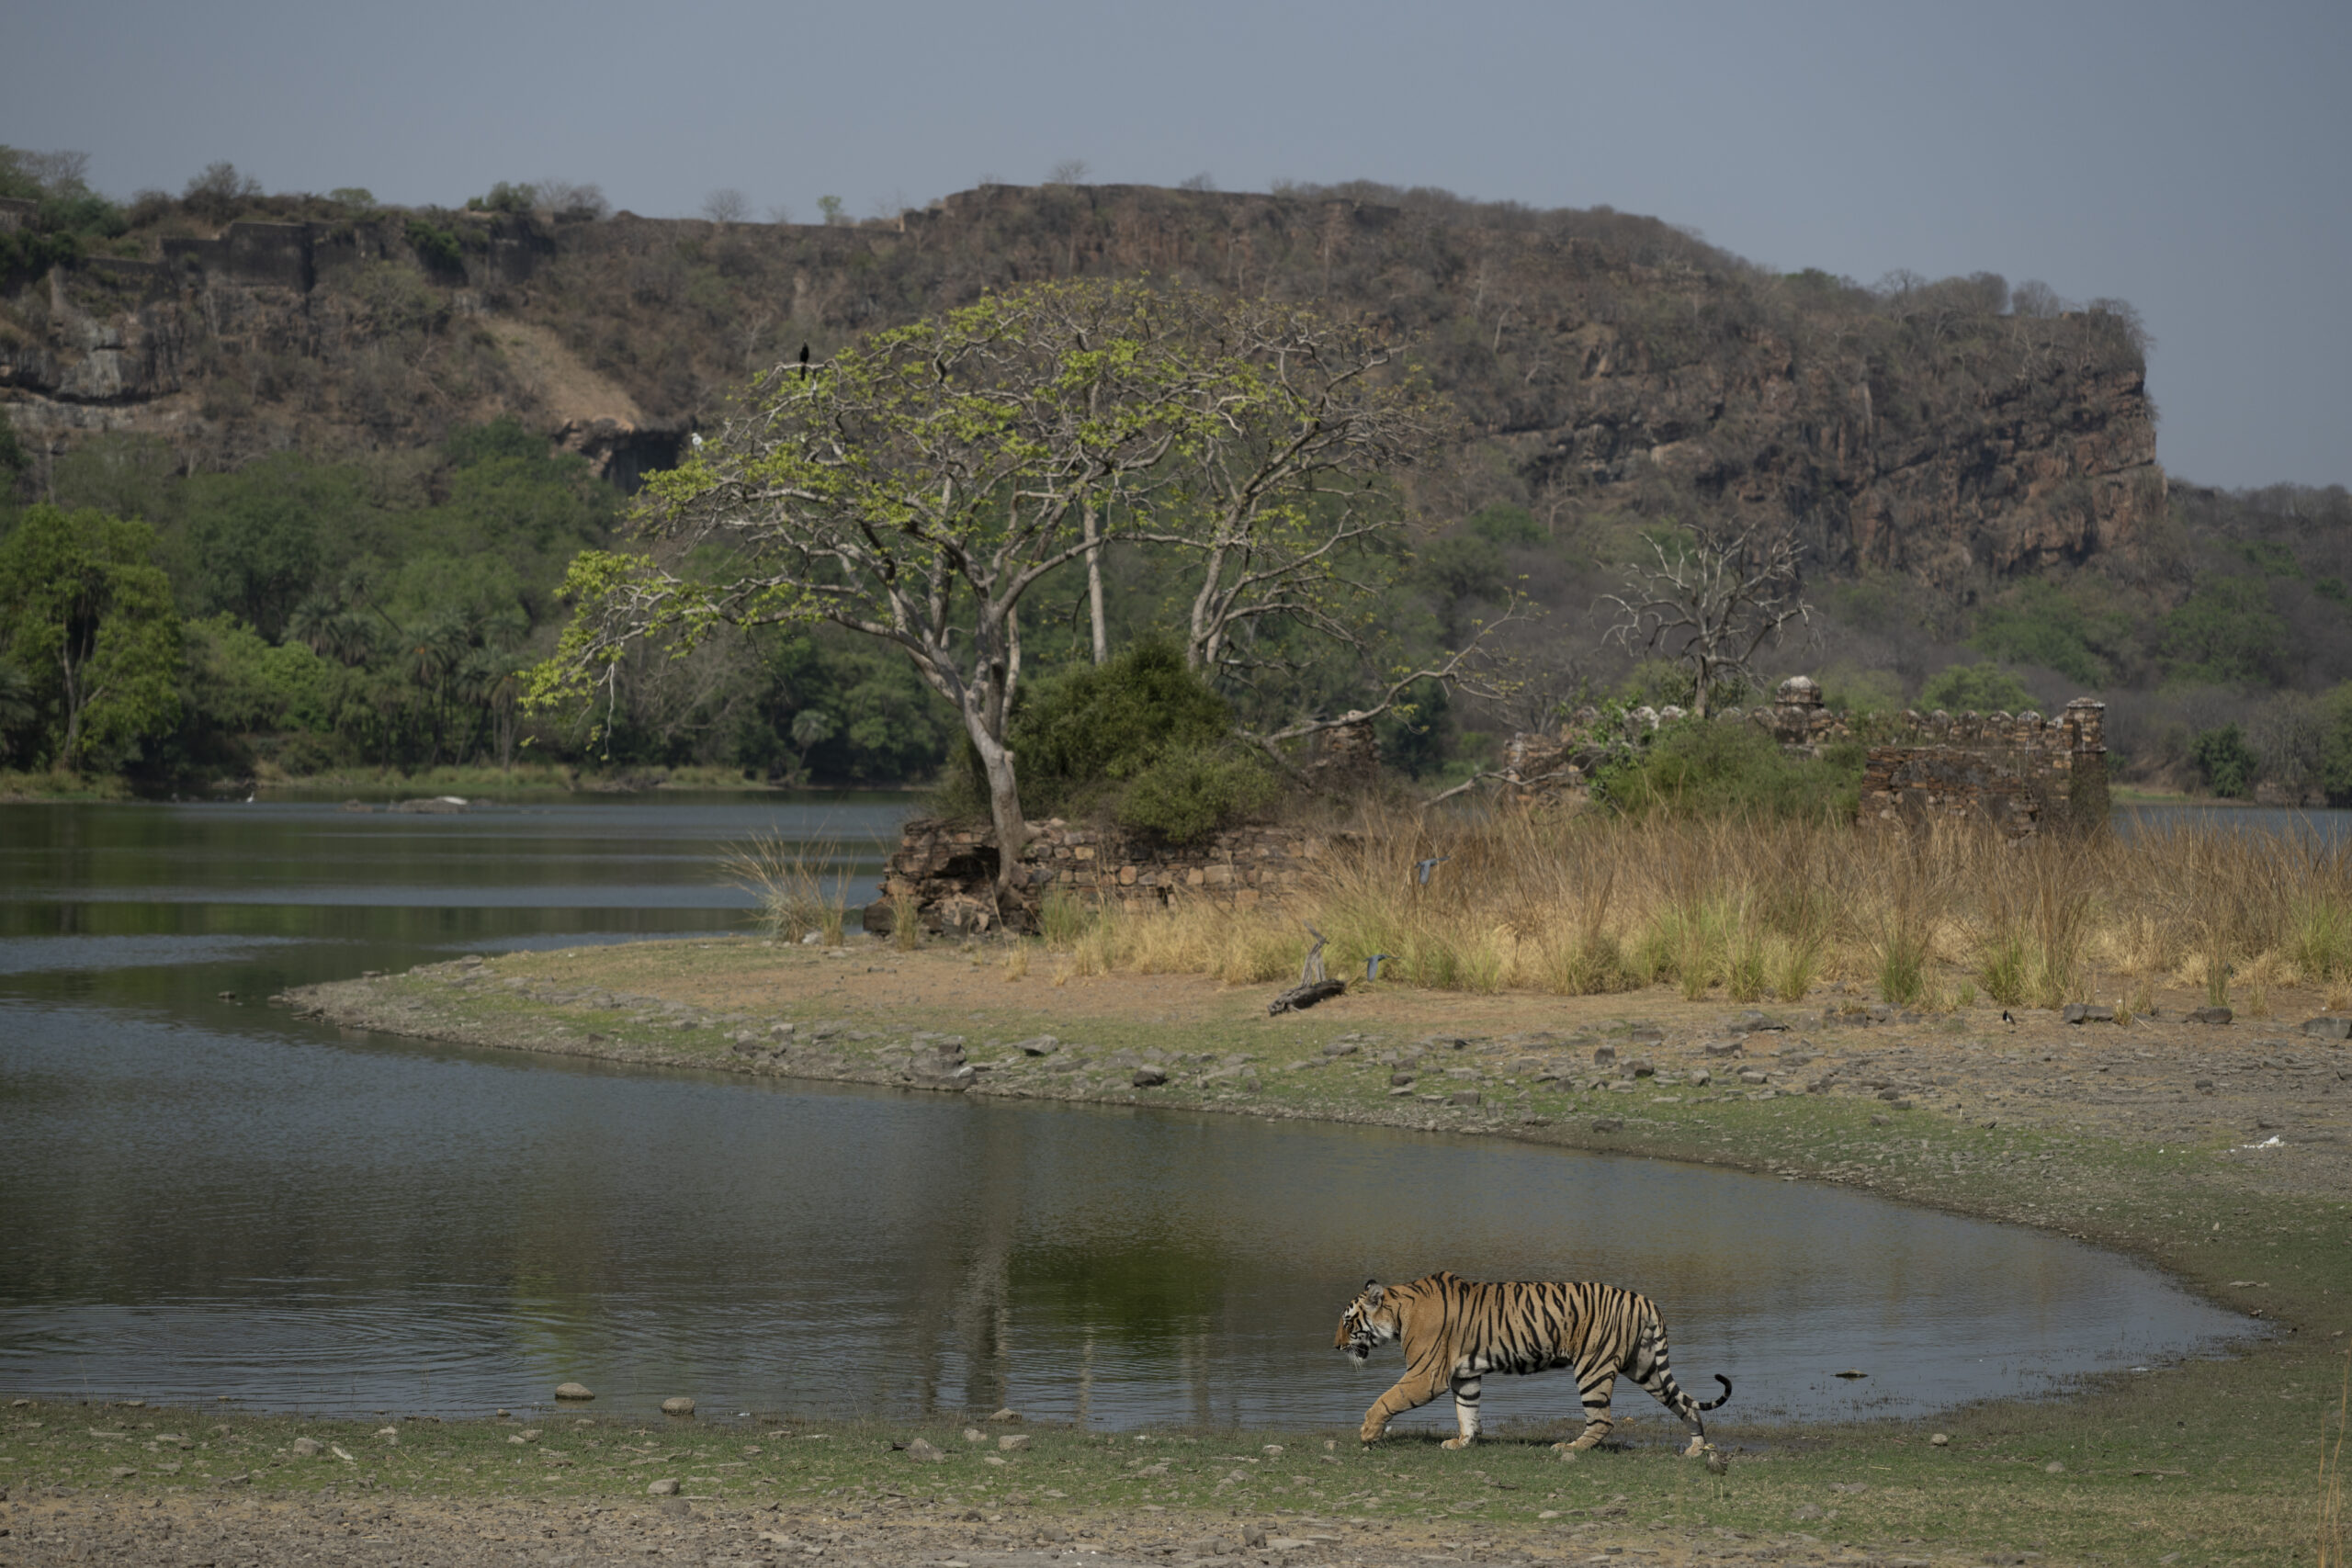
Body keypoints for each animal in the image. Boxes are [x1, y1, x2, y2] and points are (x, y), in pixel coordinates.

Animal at [1333, 1271, 1731, 1455]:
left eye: (1348, 1322)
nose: (1335, 1347)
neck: (1400, 1312)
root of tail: (1645, 1299)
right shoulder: (1465, 1375)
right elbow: (1468, 1410)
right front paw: (1463, 1442)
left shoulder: (1425, 1375)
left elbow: (1386, 1400)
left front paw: (1367, 1433)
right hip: (1645, 1366)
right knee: (1685, 1405)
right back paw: (1696, 1449)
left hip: (1593, 1366)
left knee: (1602, 1420)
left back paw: (1571, 1449)